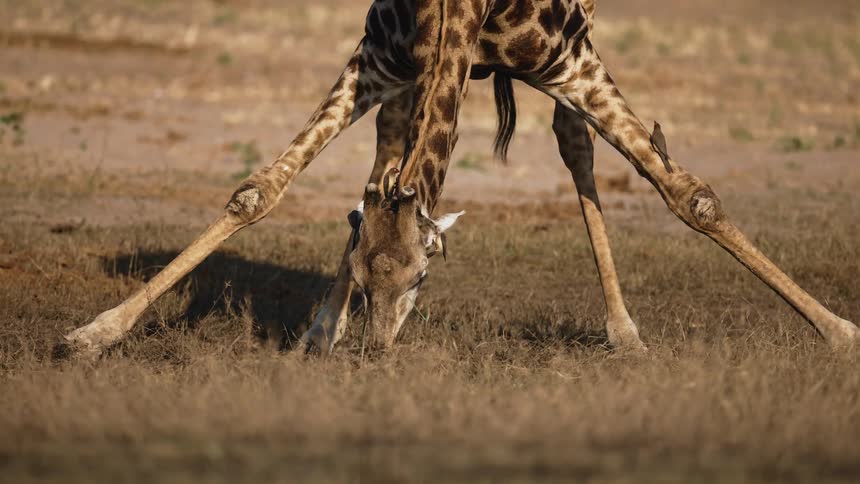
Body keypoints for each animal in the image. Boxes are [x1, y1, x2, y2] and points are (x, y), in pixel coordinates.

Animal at [63, 0, 859, 357]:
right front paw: (93, 332)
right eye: (367, 274)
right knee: (383, 164)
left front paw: (839, 329)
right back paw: (322, 330)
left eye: (423, 276)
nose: (380, 350)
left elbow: (691, 196)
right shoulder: (379, 59)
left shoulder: (571, 61)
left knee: (576, 149)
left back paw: (626, 332)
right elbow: (260, 190)